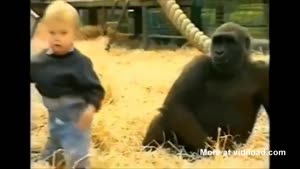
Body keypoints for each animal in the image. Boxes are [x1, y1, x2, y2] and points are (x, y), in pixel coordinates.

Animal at [142, 21, 268, 154]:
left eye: (229, 41)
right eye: (217, 41)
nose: (219, 52)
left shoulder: (263, 71)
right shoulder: (199, 63)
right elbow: (175, 104)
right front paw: (211, 151)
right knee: (163, 116)